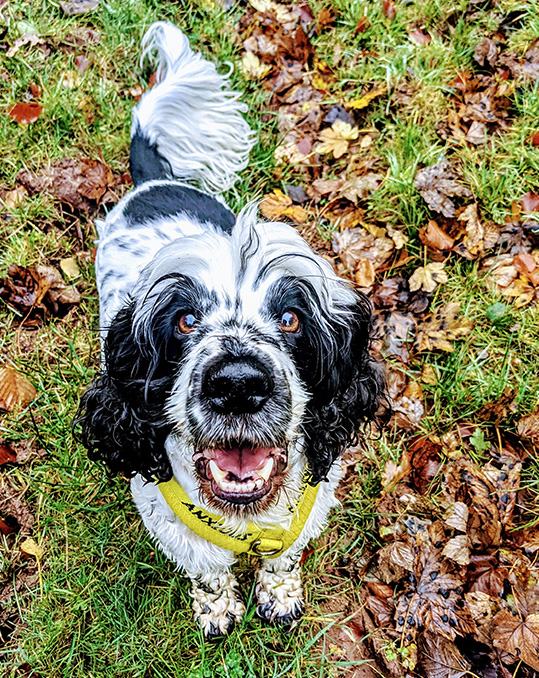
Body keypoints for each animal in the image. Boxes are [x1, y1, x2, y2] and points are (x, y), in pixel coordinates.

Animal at [77, 19, 384, 636]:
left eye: (290, 317)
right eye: (184, 319)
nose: (239, 384)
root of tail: (153, 183)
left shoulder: (308, 506)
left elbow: (284, 558)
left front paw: (280, 595)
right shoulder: (173, 522)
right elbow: (209, 570)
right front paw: (218, 609)